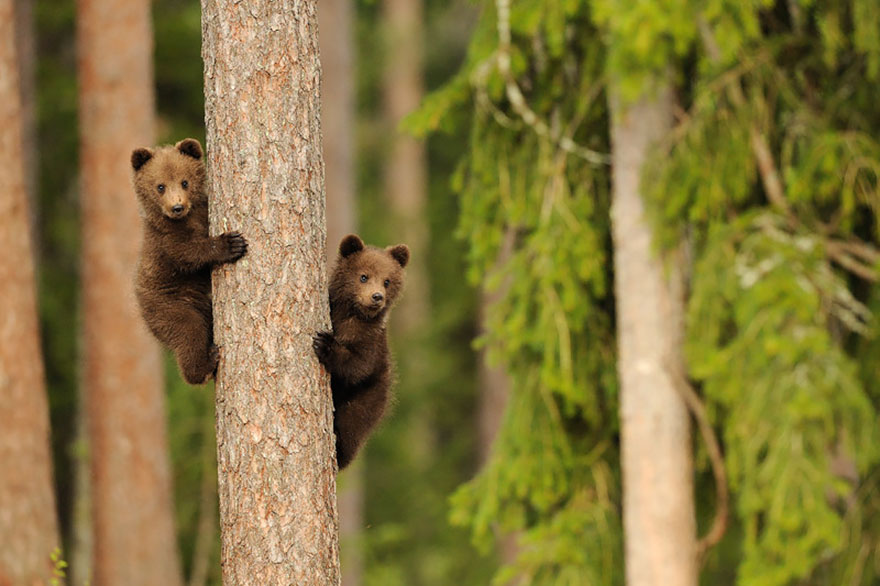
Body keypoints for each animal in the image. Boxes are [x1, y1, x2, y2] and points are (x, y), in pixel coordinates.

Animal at [131, 138, 247, 385]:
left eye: (185, 182)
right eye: (160, 186)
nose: (177, 207)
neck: (187, 218)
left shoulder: (200, 213)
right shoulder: (165, 240)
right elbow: (187, 252)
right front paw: (232, 243)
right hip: (167, 307)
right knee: (188, 332)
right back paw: (205, 365)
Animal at [312, 234, 409, 469]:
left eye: (387, 281)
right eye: (364, 276)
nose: (377, 297)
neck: (351, 314)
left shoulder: (370, 339)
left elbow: (358, 366)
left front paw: (325, 344)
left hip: (368, 397)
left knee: (352, 424)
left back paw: (340, 451)